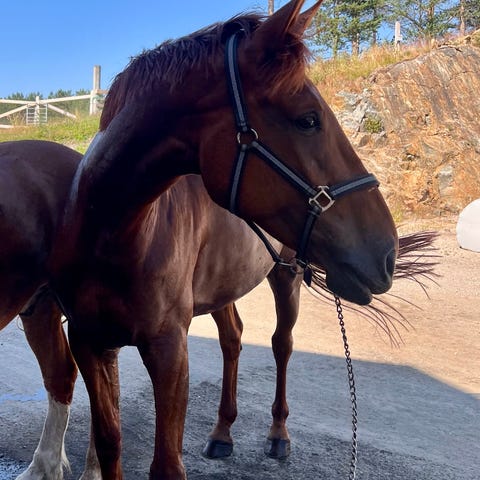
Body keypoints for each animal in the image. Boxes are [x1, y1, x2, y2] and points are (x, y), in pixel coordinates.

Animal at [48, 1, 402, 478]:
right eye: (308, 120)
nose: (387, 254)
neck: (112, 234)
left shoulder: (168, 349)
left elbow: (166, 464)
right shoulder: (89, 342)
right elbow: (109, 444)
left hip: (286, 278)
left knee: (281, 344)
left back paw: (278, 435)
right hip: (222, 287)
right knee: (233, 339)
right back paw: (221, 433)